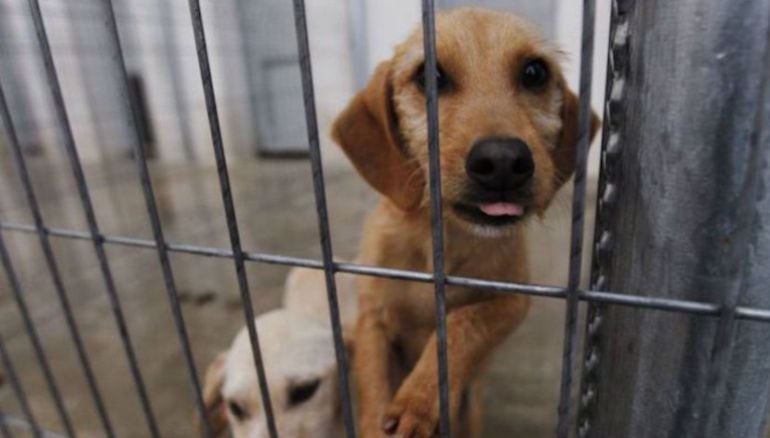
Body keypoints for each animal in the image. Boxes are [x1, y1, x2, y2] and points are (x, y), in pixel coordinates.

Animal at [332, 7, 596, 438]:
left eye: (535, 72)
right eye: (428, 76)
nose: (503, 161)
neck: (441, 243)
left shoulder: (513, 301)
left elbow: (462, 322)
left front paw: (419, 400)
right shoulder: (371, 315)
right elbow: (372, 380)